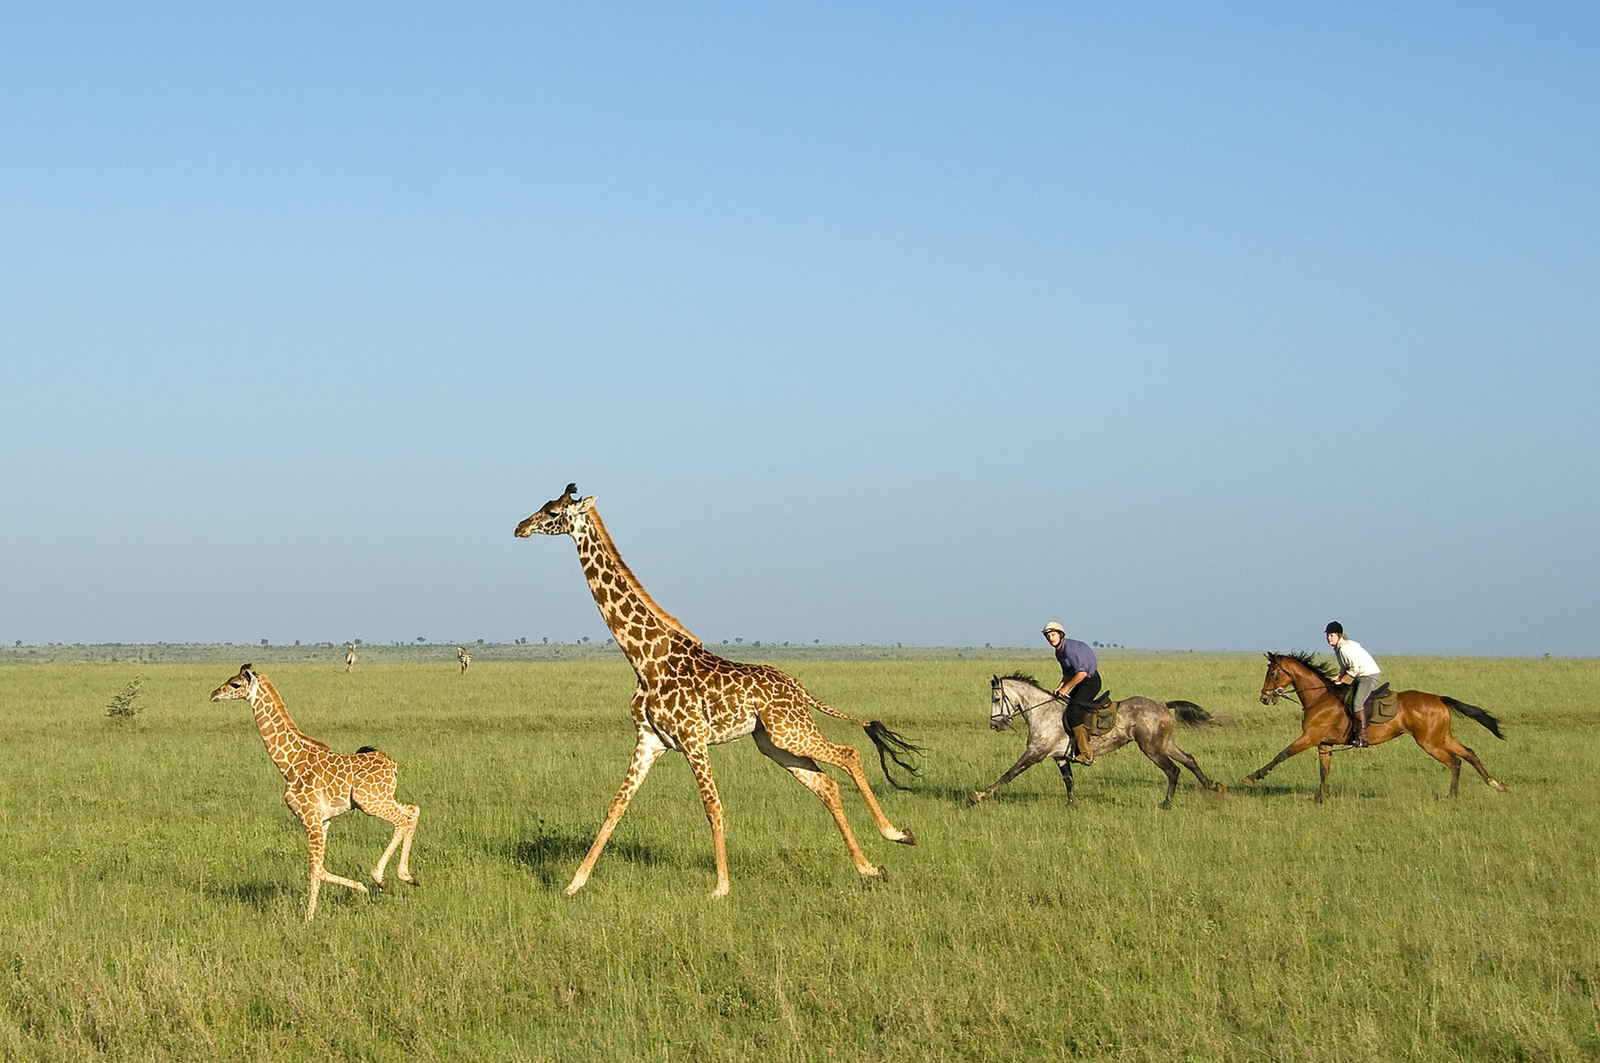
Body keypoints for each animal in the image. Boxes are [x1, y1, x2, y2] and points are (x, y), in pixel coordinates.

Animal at [971, 674, 1227, 808]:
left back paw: (1166, 804)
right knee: (1189, 760)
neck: (1042, 712)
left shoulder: (1036, 753)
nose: (994, 725)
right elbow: (1069, 781)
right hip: (1164, 744)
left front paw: (980, 795)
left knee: (1173, 770)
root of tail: (1163, 704)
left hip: (1151, 748)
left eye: (996, 698)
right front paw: (1071, 805)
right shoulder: (1058, 757)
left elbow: (1009, 774)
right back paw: (1213, 786)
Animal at [1240, 652, 1507, 802]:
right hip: (1441, 737)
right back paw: (1495, 784)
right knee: (1468, 755)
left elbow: (1282, 754)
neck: (1319, 697)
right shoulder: (1324, 744)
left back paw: (1451, 796)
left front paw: (1253, 777)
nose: (1264, 698)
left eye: (1272, 672)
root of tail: (1440, 698)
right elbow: (1324, 772)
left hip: (1429, 742)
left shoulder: (1310, 737)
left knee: (1454, 761)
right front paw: (1321, 798)